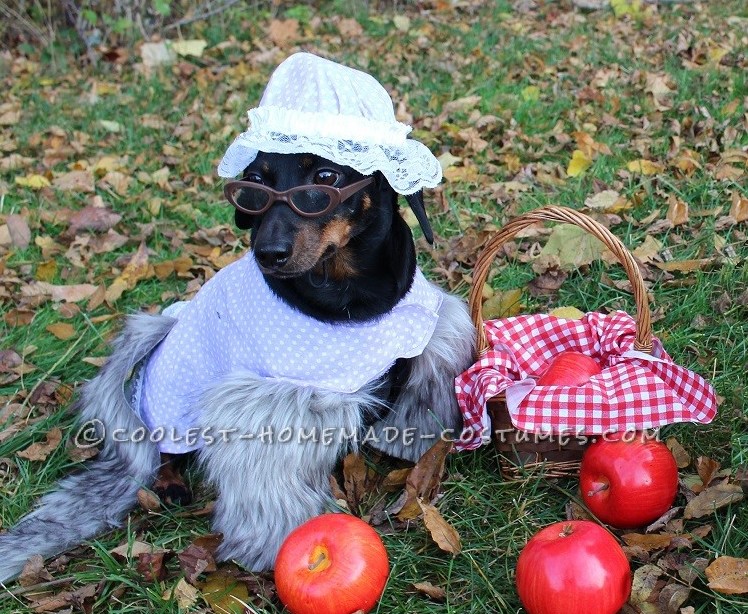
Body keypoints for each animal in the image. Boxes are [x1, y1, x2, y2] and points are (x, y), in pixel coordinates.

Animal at [0, 150, 476, 584]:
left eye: (326, 176)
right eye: (253, 184)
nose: (267, 254)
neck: (351, 296)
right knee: (167, 453)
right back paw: (169, 484)